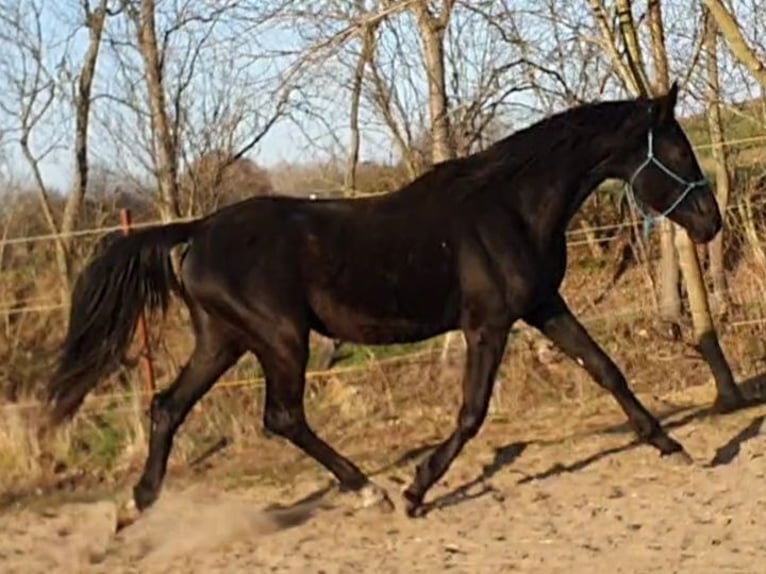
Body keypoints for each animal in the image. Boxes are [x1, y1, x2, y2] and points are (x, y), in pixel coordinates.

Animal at [46, 83, 736, 520]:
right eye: (679, 151)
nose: (711, 223)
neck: (510, 207)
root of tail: (195, 231)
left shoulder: (543, 306)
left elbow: (606, 370)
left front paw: (675, 447)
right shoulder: (489, 324)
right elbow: (472, 412)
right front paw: (416, 491)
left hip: (223, 340)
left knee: (167, 407)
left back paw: (133, 509)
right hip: (280, 339)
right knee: (282, 417)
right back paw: (369, 491)